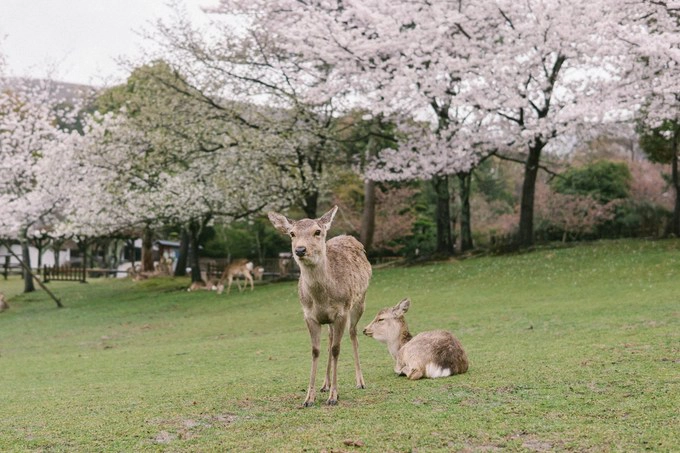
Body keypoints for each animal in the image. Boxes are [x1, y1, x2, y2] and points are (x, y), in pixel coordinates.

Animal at [266, 205, 372, 406]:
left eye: (317, 231)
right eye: (292, 233)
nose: (300, 250)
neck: (321, 298)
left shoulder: (341, 312)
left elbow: (337, 349)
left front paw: (334, 397)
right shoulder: (309, 315)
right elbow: (316, 351)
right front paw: (309, 398)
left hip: (360, 301)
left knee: (353, 333)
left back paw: (360, 381)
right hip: (330, 318)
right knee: (330, 338)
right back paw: (325, 384)